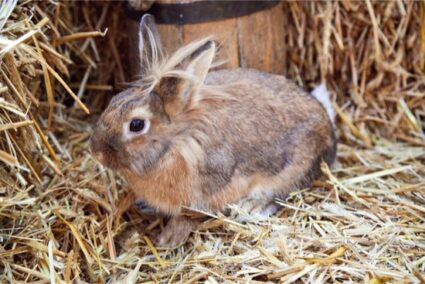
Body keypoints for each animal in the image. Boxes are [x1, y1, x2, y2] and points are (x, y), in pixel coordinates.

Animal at [91, 14, 336, 247]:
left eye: (136, 125)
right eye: (114, 100)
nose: (96, 152)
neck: (176, 143)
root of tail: (326, 122)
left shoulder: (205, 194)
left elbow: (188, 216)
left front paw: (169, 239)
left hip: (293, 168)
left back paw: (252, 206)